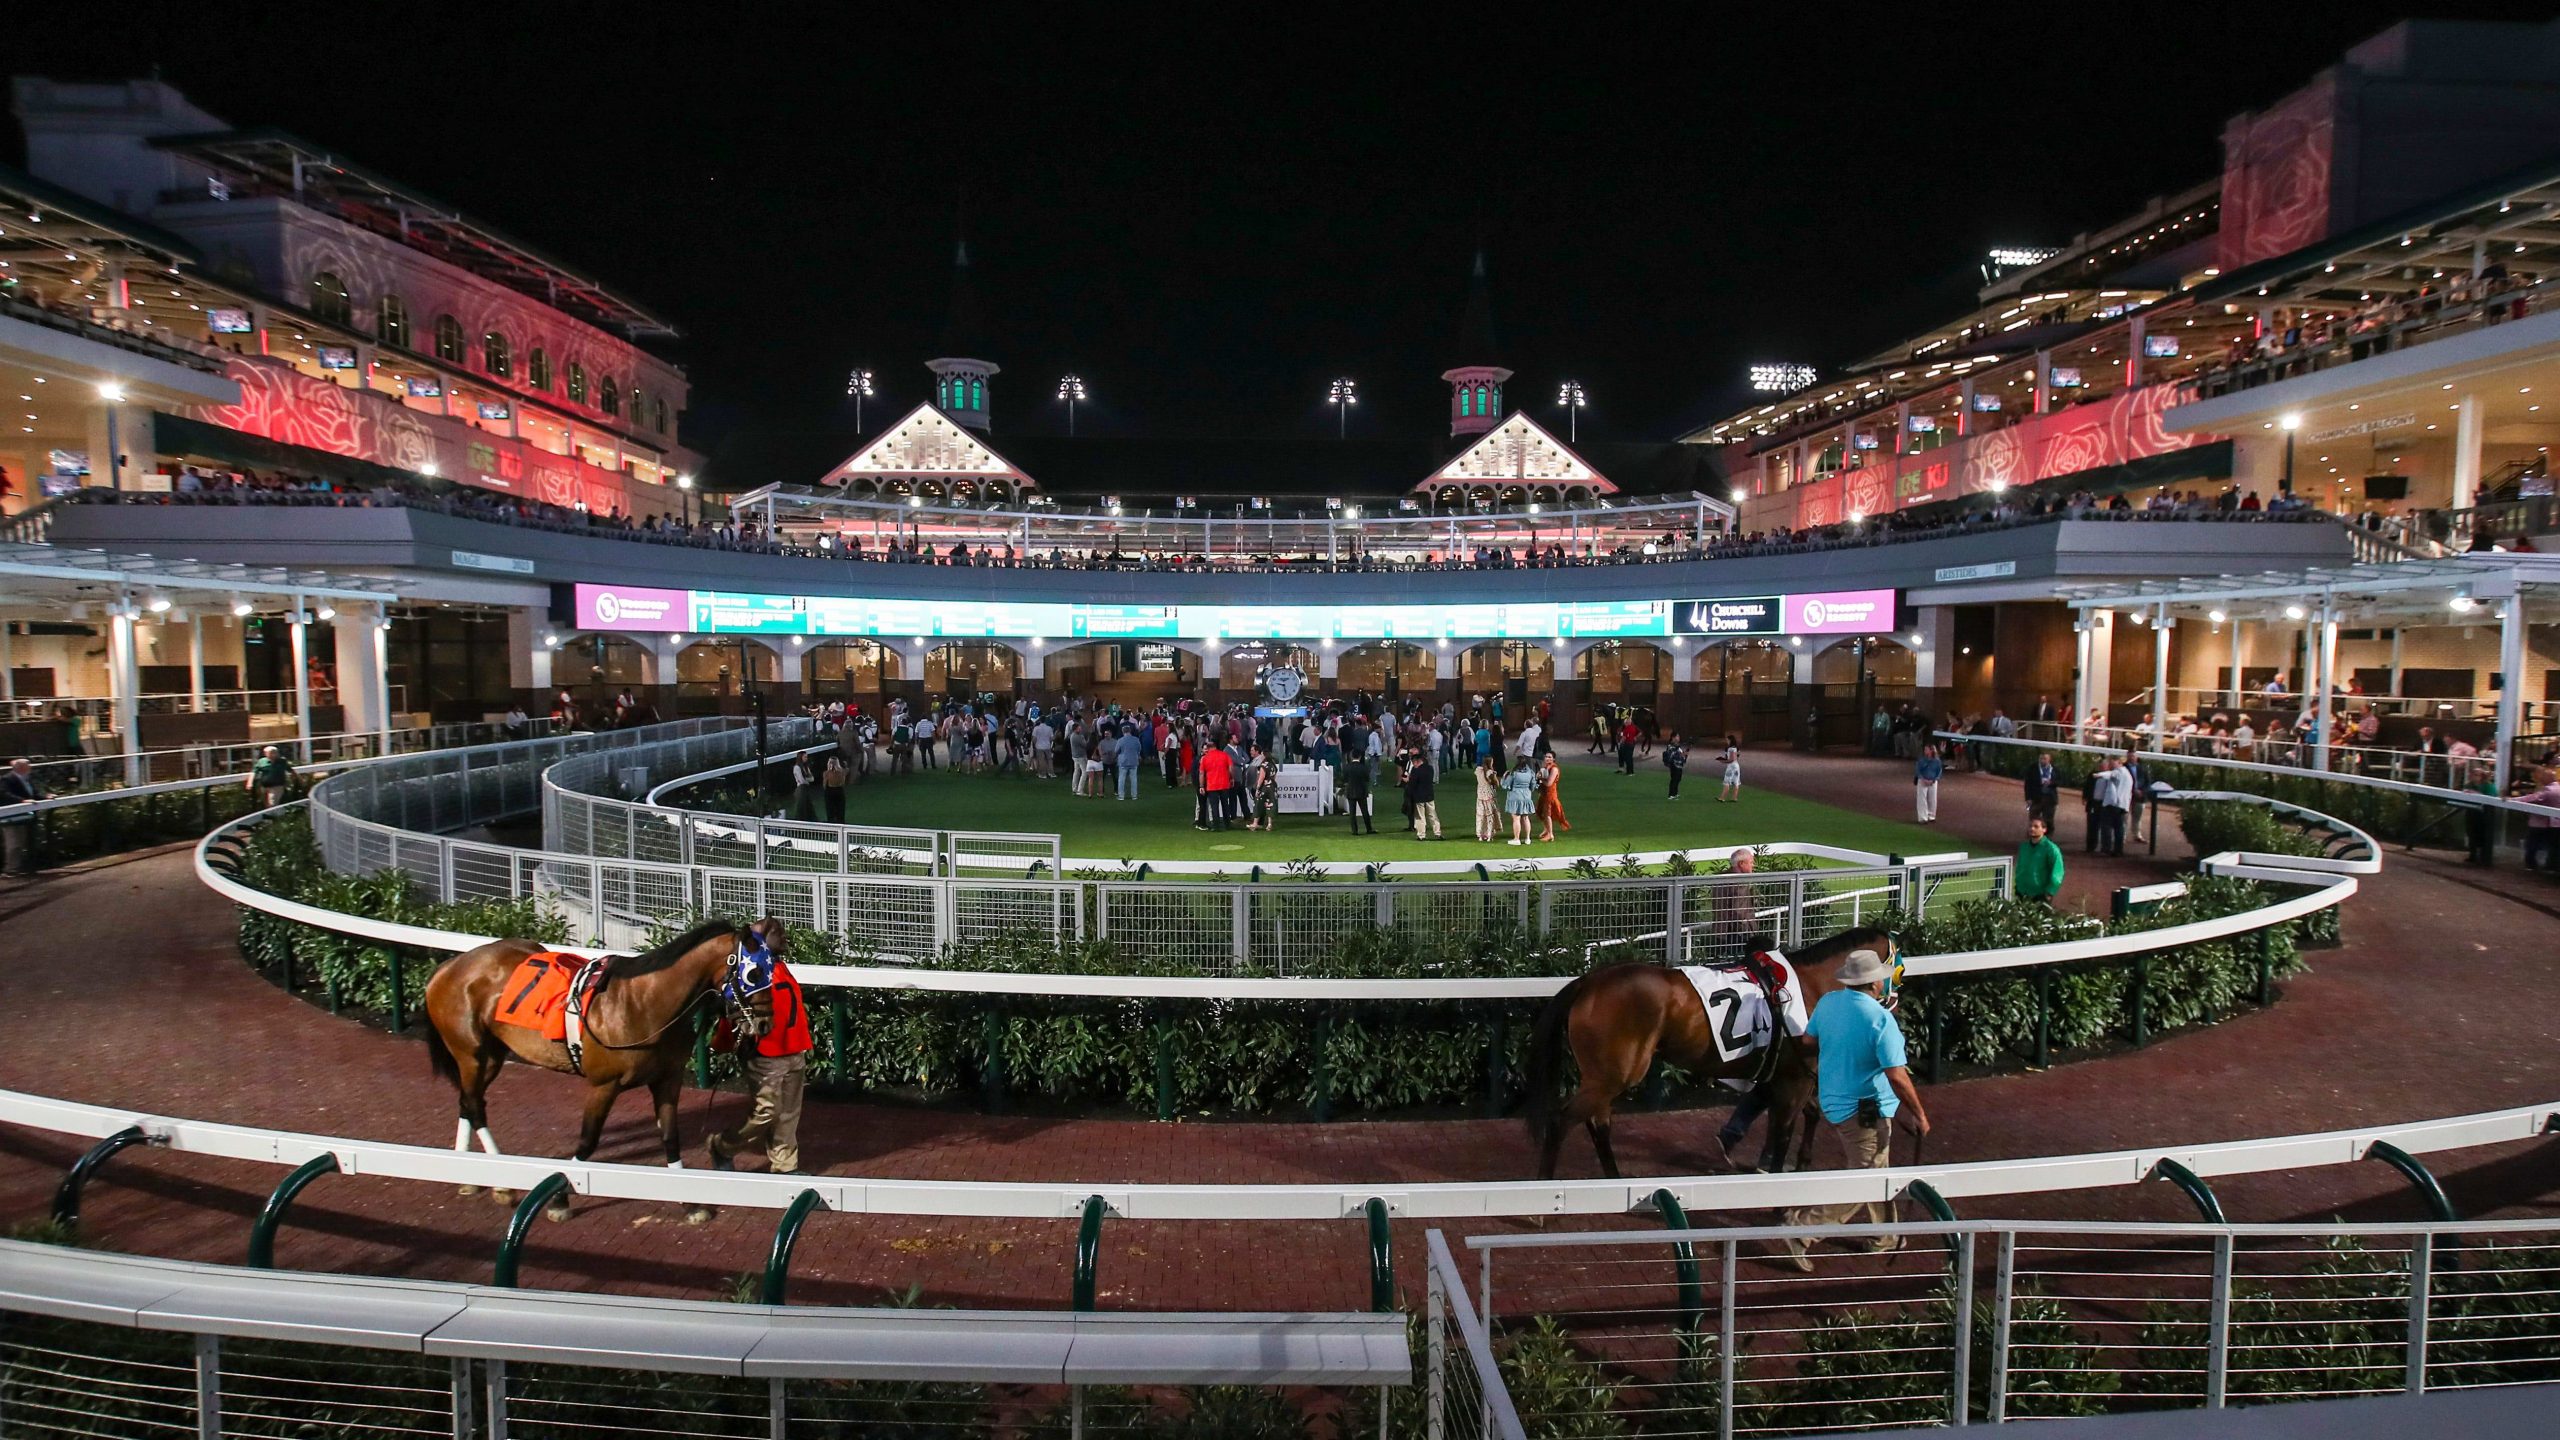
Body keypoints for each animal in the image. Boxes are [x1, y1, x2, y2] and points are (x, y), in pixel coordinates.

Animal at [419, 917, 773, 1209]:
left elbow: (670, 1138)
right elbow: (588, 1142)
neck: (644, 1003)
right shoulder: (604, 1085)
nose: (765, 1024)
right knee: (474, 1105)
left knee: (468, 1101)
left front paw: (690, 1203)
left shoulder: (667, 1079)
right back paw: (500, 1183)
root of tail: (448, 966)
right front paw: (561, 1197)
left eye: (773, 968)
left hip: (491, 1055)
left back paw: (468, 1175)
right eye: (754, 973)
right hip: (471, 1053)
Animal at [1515, 922, 1904, 1173]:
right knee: (1563, 1121)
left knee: (1598, 1122)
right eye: (1899, 964)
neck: (1810, 986)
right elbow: (1786, 1127)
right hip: (1615, 1074)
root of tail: (1586, 982)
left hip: (1604, 1075)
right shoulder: (1796, 1077)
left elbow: (1801, 1114)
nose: (1894, 998)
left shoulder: (1787, 1072)